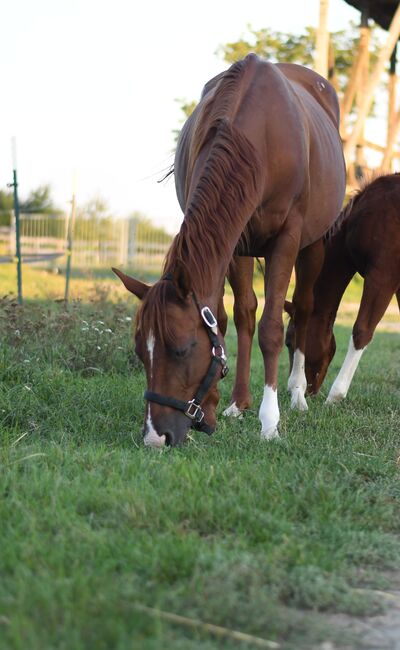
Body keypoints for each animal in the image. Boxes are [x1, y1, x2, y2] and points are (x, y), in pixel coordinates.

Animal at [112, 54, 344, 446]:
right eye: (140, 351)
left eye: (182, 349)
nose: (156, 437)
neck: (257, 135)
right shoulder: (234, 242)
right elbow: (227, 319)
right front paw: (219, 406)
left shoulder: (287, 238)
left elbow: (271, 329)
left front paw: (270, 421)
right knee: (246, 313)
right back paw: (240, 402)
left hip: (313, 244)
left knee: (303, 310)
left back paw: (297, 393)